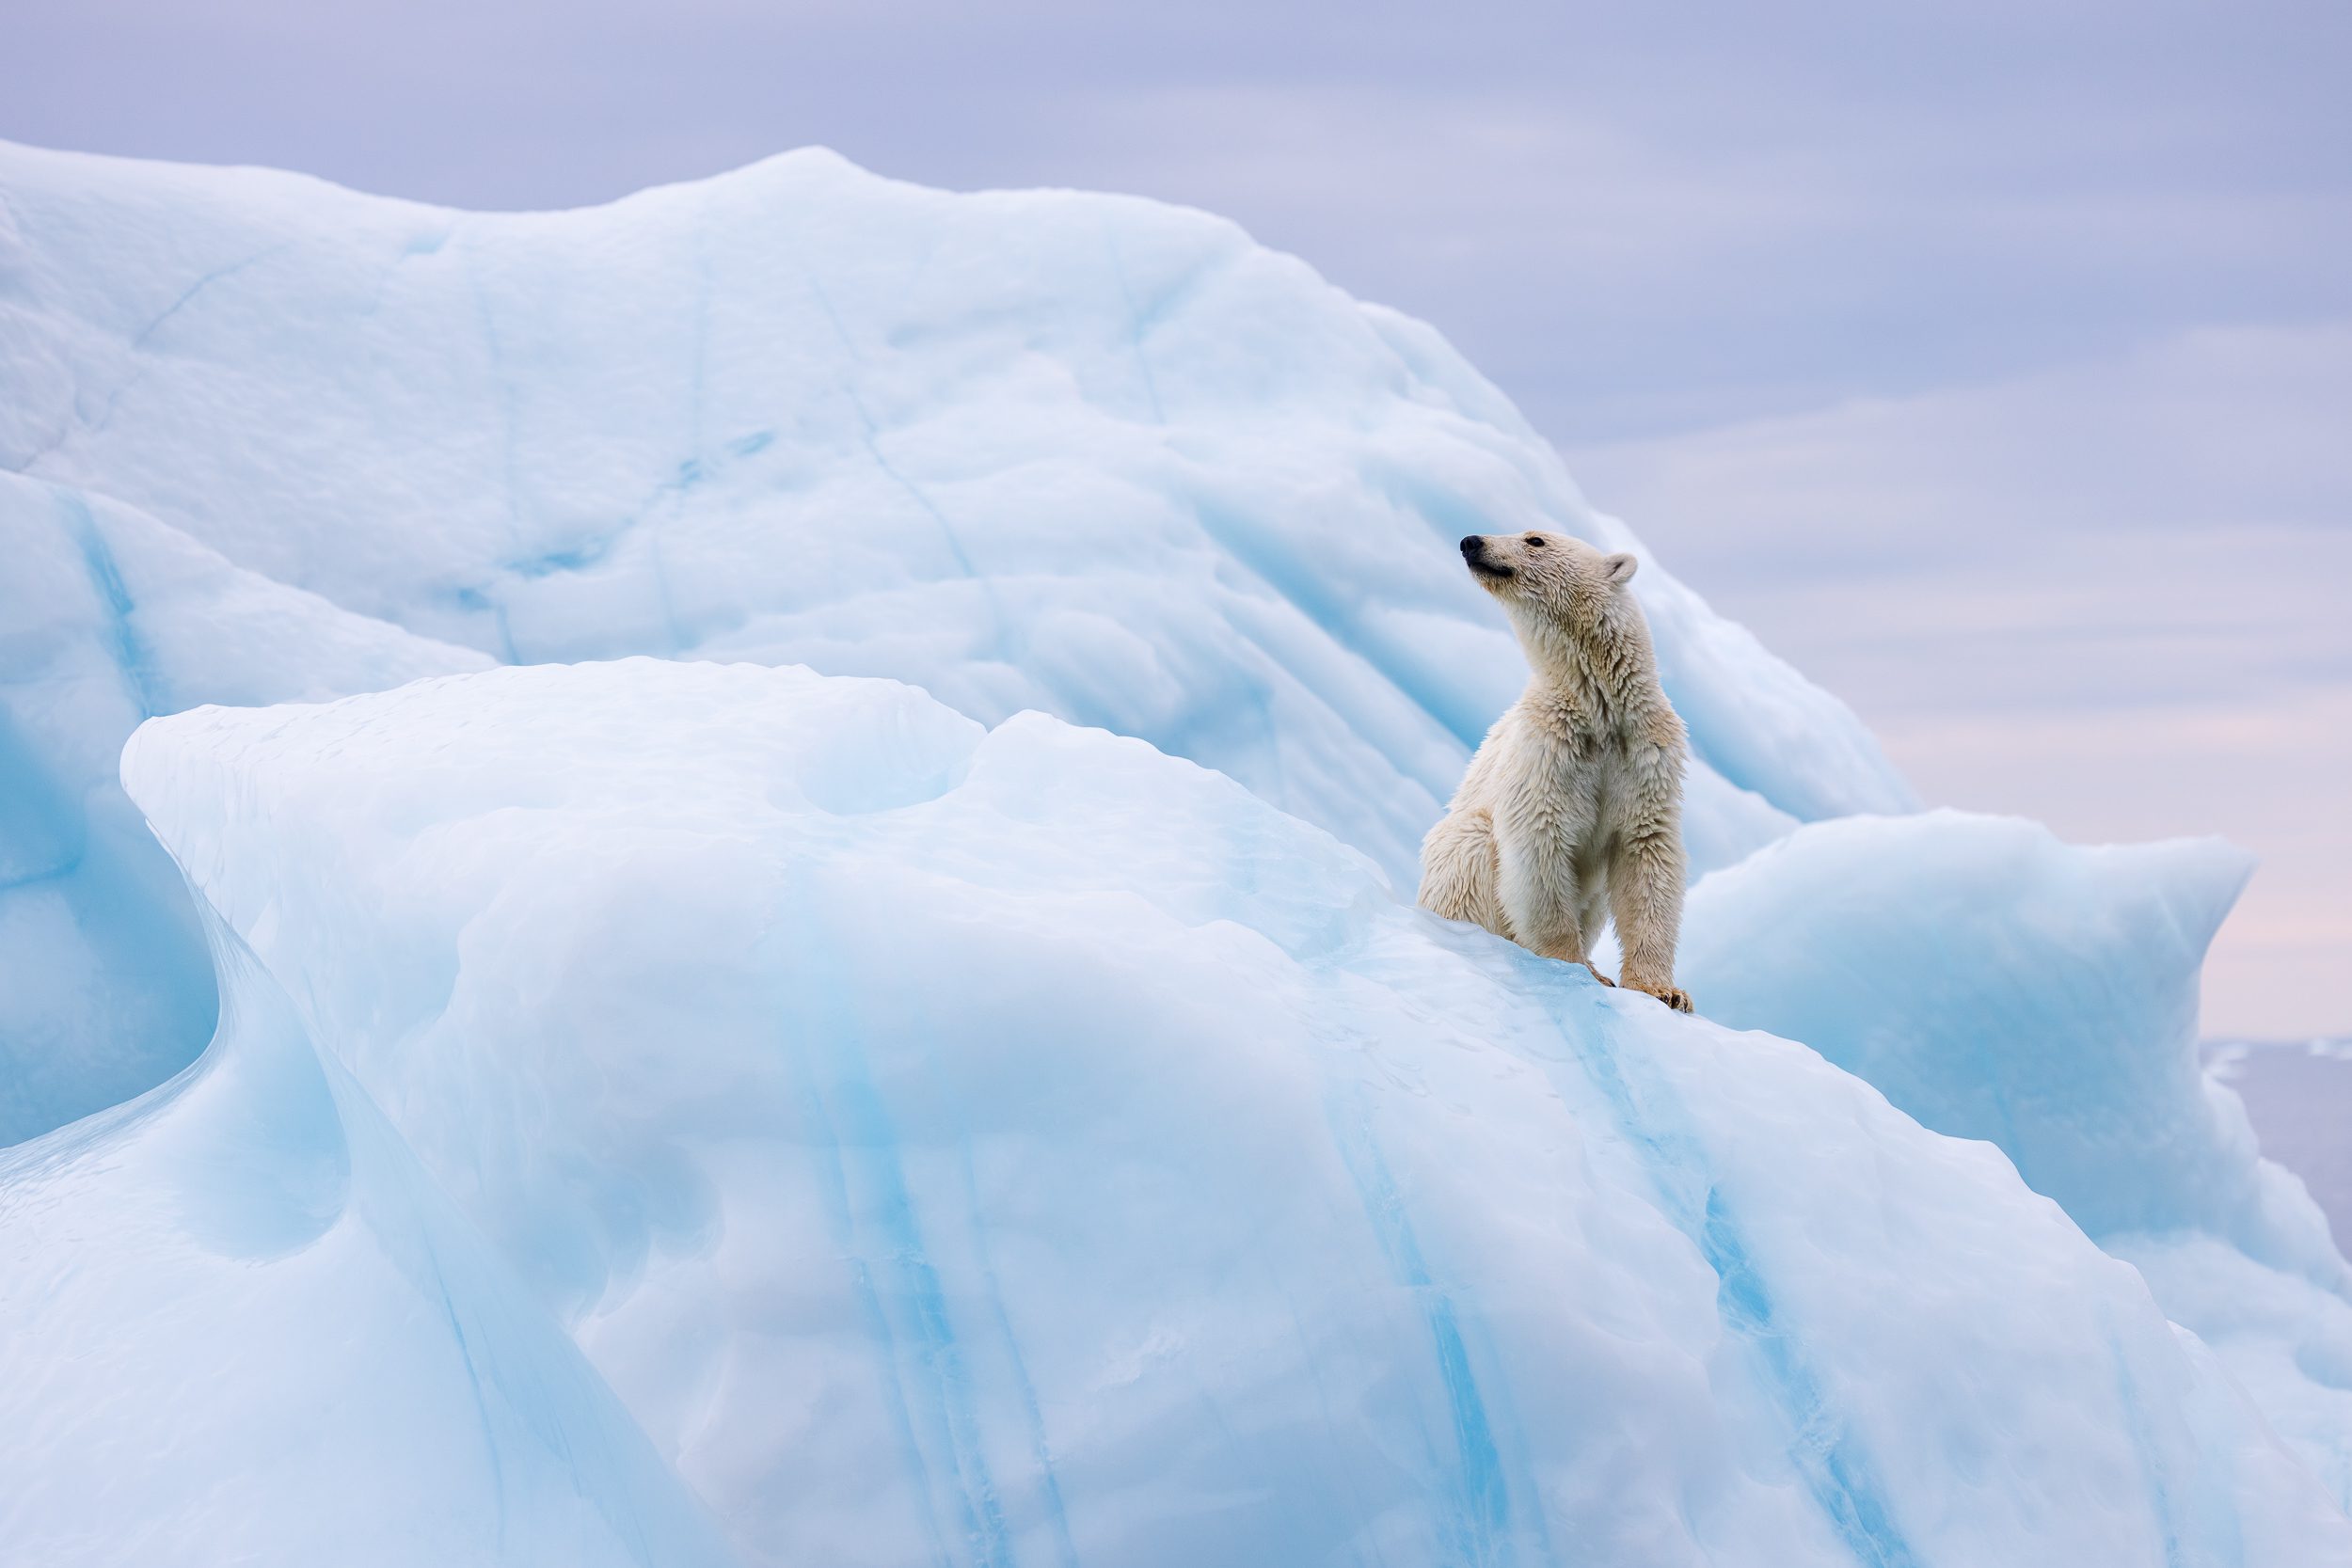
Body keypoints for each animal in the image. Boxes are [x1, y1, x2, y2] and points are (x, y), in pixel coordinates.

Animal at [1411, 533, 1693, 1010]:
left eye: (1535, 539)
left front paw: (1664, 991)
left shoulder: (1646, 755)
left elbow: (1646, 853)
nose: (1471, 541)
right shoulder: (1546, 751)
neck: (1599, 708)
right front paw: (1577, 967)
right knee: (1468, 849)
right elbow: (1538, 841)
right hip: (1456, 855)